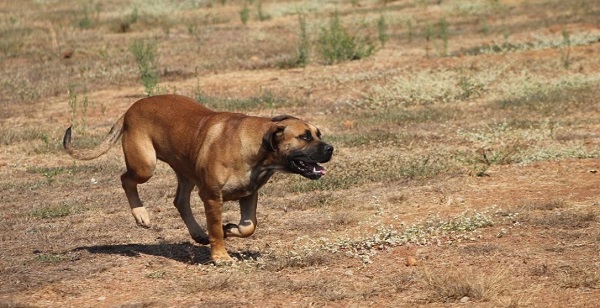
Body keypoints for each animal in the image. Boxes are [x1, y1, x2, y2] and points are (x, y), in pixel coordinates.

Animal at [63, 94, 336, 262]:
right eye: (304, 137)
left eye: (318, 134)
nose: (331, 148)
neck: (258, 149)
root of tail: (130, 109)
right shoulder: (212, 197)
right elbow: (215, 227)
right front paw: (221, 255)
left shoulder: (249, 194)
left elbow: (249, 226)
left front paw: (230, 228)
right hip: (145, 165)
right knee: (126, 179)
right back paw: (141, 215)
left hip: (186, 170)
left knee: (180, 201)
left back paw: (197, 233)